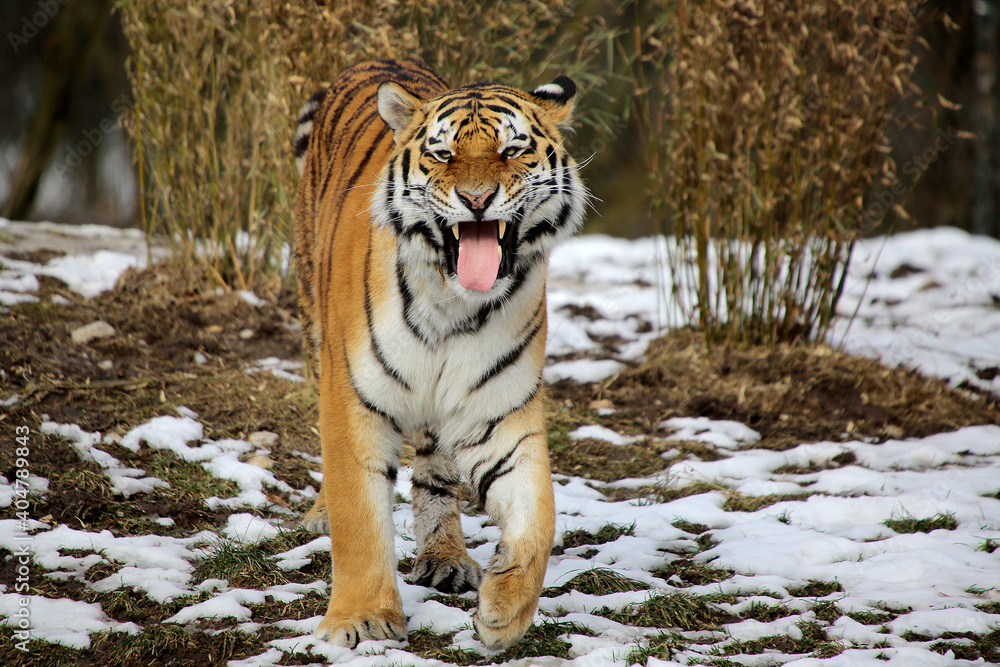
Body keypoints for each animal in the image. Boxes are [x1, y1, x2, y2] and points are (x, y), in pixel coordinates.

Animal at [292, 59, 586, 650]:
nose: (476, 199)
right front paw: (360, 618)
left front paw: (503, 612)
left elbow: (539, 517)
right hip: (315, 330)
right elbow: (358, 514)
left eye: (512, 151)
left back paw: (446, 558)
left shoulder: (498, 413)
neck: (453, 305)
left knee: (436, 478)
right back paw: (320, 515)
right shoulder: (352, 398)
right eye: (444, 155)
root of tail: (371, 61)